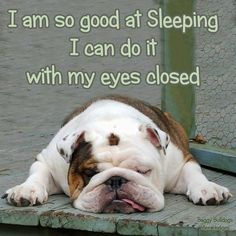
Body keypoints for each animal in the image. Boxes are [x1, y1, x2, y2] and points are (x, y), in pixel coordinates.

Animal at [1, 95, 231, 213]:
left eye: (143, 171)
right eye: (90, 173)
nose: (115, 180)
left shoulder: (181, 162)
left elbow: (194, 173)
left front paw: (208, 189)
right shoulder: (47, 160)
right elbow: (37, 173)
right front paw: (25, 190)